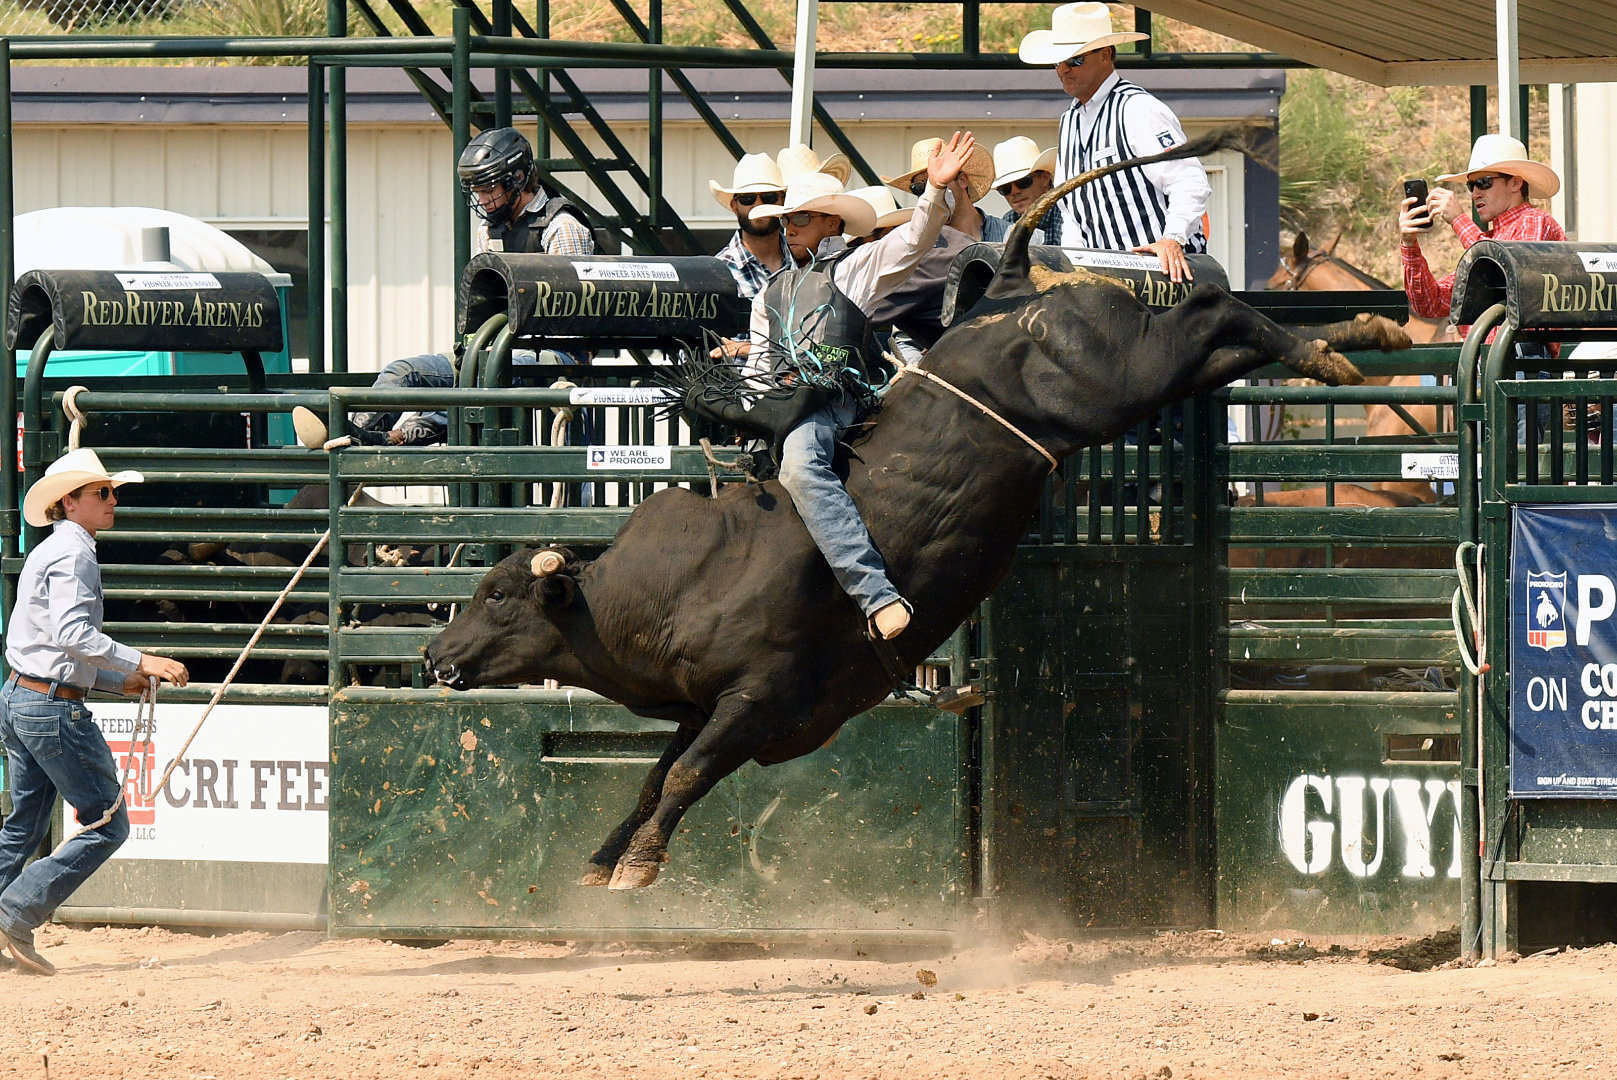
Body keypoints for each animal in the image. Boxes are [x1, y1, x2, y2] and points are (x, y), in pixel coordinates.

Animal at [423, 128, 1410, 885]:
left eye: (499, 598)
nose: (433, 656)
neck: (665, 591)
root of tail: (1007, 282)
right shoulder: (707, 710)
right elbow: (654, 778)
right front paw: (602, 861)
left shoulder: (755, 697)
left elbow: (682, 779)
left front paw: (636, 864)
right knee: (1219, 337)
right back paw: (1352, 340)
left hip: (1119, 374)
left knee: (1213, 314)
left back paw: (1342, 341)